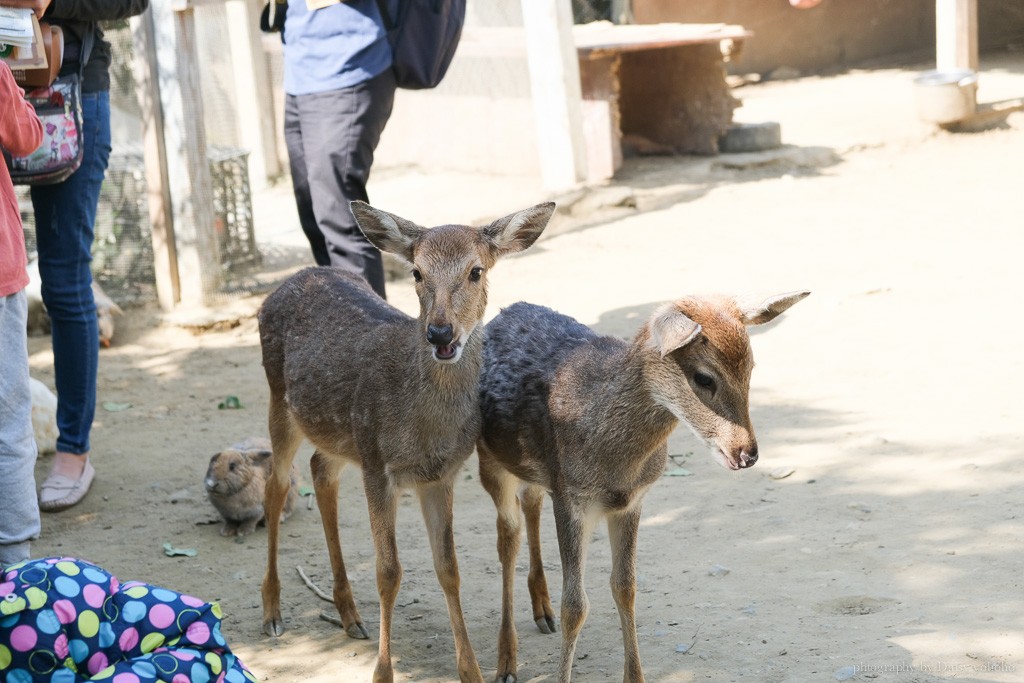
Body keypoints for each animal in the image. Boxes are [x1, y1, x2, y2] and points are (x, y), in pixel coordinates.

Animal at [260, 198, 557, 683]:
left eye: (476, 271)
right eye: (417, 271)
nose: (440, 332)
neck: (423, 427)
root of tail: (291, 279)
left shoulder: (440, 474)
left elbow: (449, 569)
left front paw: (472, 671)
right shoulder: (378, 465)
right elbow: (388, 572)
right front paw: (382, 673)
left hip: (338, 433)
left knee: (320, 470)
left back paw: (349, 614)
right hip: (280, 400)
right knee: (276, 485)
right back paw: (272, 611)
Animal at [475, 290, 811, 679]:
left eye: (751, 368)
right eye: (704, 377)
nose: (746, 453)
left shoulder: (631, 501)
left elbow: (626, 587)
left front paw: (636, 676)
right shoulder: (571, 497)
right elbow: (575, 606)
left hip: (535, 472)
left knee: (530, 501)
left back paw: (541, 611)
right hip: (488, 458)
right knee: (506, 538)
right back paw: (506, 663)